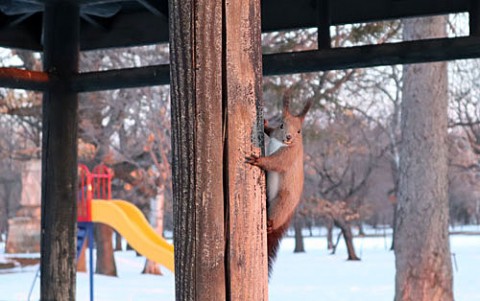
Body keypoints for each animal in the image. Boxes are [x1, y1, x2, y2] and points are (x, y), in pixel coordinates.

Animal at [246, 91, 314, 274]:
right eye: (282, 125)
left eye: (299, 131)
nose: (288, 137)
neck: (281, 143)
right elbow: (270, 131)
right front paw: (265, 124)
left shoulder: (289, 155)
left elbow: (276, 163)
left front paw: (259, 161)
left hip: (283, 202)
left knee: (275, 216)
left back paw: (270, 224)